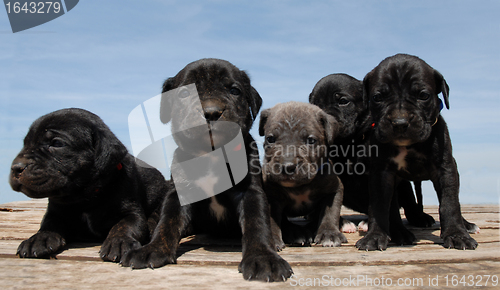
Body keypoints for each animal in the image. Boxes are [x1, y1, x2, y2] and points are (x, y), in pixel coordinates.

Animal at [8, 108, 169, 260]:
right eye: (25, 144)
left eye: (57, 143)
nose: (16, 167)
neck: (85, 197)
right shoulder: (55, 211)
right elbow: (48, 224)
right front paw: (38, 238)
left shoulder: (131, 211)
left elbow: (125, 225)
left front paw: (119, 241)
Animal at [121, 57, 292, 282]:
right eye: (184, 94)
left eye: (235, 90)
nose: (211, 111)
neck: (211, 155)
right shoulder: (178, 194)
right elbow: (167, 222)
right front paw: (153, 248)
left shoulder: (250, 192)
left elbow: (256, 223)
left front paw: (263, 257)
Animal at [260, 101, 346, 250]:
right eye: (270, 139)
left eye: (311, 140)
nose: (287, 165)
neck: (299, 186)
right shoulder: (271, 195)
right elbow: (271, 219)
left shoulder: (334, 189)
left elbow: (330, 212)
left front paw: (329, 234)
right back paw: (296, 233)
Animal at [358, 54, 478, 251]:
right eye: (377, 97)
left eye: (423, 95)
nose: (400, 122)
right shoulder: (381, 173)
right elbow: (380, 205)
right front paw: (375, 236)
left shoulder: (445, 169)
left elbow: (450, 203)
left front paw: (456, 234)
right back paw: (400, 232)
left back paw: (466, 225)